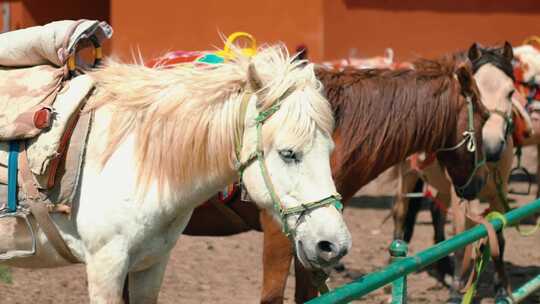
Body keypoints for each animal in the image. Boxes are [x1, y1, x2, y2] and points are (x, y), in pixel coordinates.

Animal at [0, 44, 352, 302]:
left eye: (329, 151)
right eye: (288, 153)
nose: (334, 245)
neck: (137, 159)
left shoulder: (151, 265)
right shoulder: (105, 265)